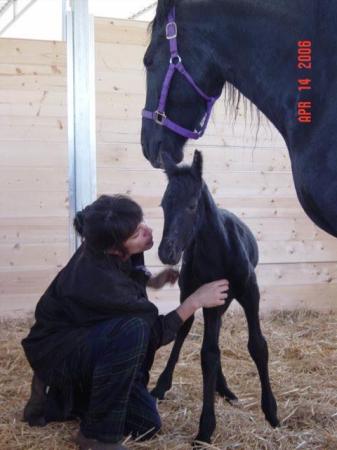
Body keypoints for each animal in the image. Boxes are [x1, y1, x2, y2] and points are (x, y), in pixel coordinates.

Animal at [153, 150, 278, 442]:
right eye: (163, 205)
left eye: (191, 205)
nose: (166, 252)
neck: (219, 250)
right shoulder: (206, 296)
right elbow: (208, 353)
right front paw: (206, 428)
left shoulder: (250, 293)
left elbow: (257, 345)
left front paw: (271, 411)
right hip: (194, 295)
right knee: (184, 330)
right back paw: (162, 385)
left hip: (225, 299)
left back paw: (225, 389)